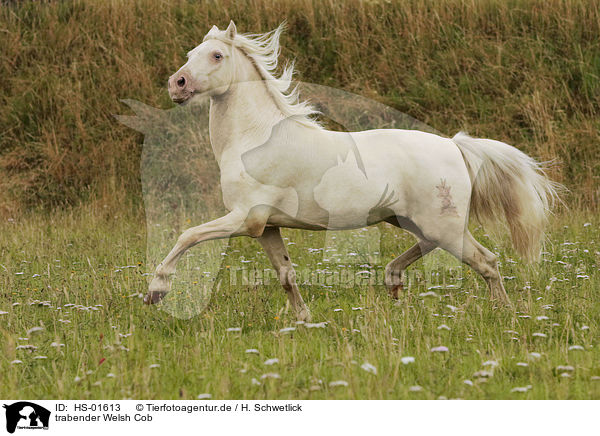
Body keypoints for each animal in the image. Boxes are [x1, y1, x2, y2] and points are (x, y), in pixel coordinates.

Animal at [148, 21, 560, 320]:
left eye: (217, 55)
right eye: (191, 54)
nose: (176, 84)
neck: (254, 139)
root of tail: (454, 145)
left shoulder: (244, 218)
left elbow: (187, 235)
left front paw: (156, 291)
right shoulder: (267, 228)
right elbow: (286, 275)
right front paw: (305, 319)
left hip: (442, 224)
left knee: (486, 261)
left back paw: (504, 313)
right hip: (413, 220)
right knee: (431, 247)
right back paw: (393, 282)